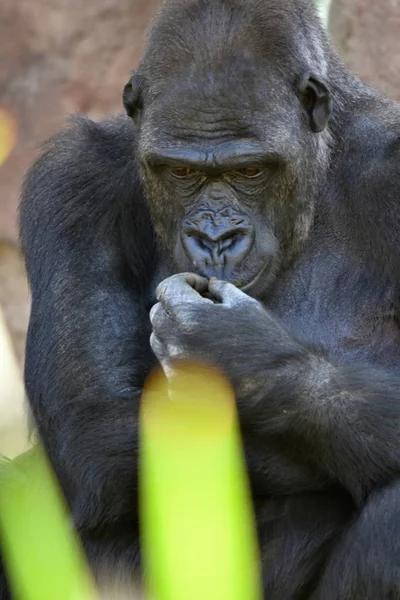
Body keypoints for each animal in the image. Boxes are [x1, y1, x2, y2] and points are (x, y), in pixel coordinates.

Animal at [2, 0, 400, 596]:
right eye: (182, 171)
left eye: (250, 170)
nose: (215, 237)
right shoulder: (72, 182)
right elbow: (93, 425)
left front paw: (238, 352)